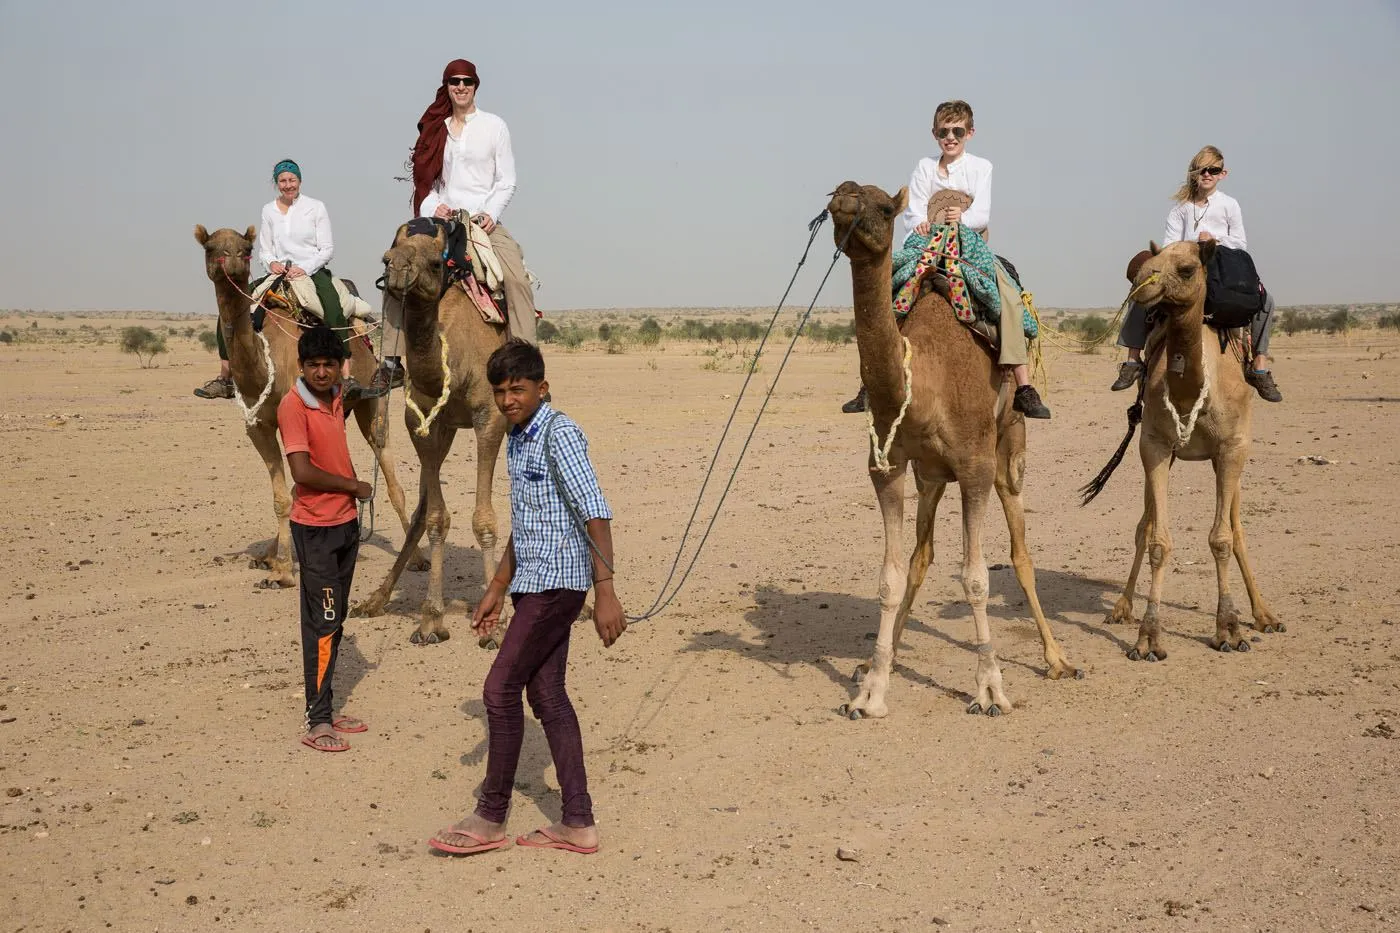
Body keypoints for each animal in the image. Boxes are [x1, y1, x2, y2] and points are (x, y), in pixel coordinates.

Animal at [194, 224, 417, 582]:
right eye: (211, 248)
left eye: (245, 248)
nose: (233, 264)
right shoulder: (258, 425)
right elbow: (282, 495)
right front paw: (275, 560)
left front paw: (283, 569)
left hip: (374, 399)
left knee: (388, 467)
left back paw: (417, 557)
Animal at [350, 219, 509, 638]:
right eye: (386, 256)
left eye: (437, 262)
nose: (397, 269)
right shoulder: (420, 422)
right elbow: (436, 517)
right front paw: (431, 616)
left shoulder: (490, 418)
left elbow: (484, 518)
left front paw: (493, 623)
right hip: (448, 430)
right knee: (423, 509)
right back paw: (373, 601)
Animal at [823, 183, 1075, 717]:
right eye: (837, 193)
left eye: (882, 206)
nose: (845, 201)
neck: (925, 380)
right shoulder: (889, 468)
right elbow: (892, 576)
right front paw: (871, 688)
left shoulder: (976, 467)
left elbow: (977, 578)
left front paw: (991, 688)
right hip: (932, 478)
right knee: (923, 556)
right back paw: (885, 657)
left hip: (1006, 453)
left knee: (1021, 553)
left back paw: (1057, 658)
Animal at [1086, 239, 1282, 658]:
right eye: (1153, 261)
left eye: (1188, 268)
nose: (1142, 283)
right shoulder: (1155, 446)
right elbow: (1157, 540)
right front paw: (1147, 638)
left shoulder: (1231, 448)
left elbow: (1223, 538)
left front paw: (1229, 630)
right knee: (1144, 525)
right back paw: (1121, 608)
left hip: (1231, 456)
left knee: (1237, 528)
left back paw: (1265, 615)